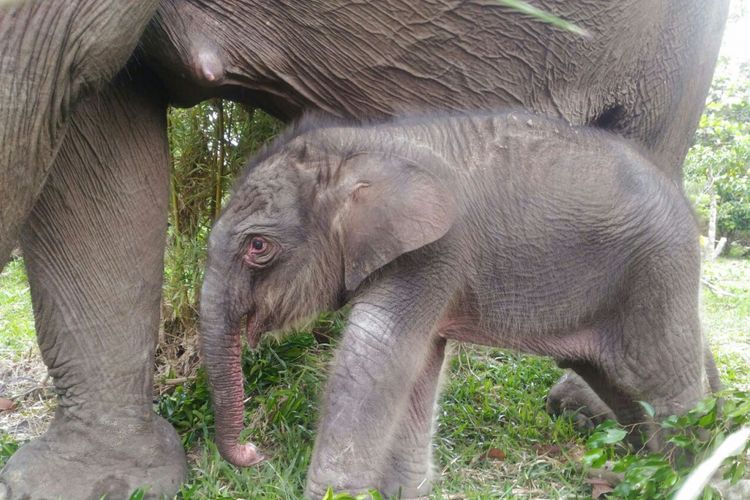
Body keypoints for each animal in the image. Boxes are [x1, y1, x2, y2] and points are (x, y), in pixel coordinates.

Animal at [201, 111, 712, 498]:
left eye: (258, 247)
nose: (254, 453)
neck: (364, 141)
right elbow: (419, 365)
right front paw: (407, 493)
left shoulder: (436, 251)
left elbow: (374, 359)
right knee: (620, 387)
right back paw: (637, 474)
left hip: (660, 273)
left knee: (667, 388)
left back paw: (681, 479)